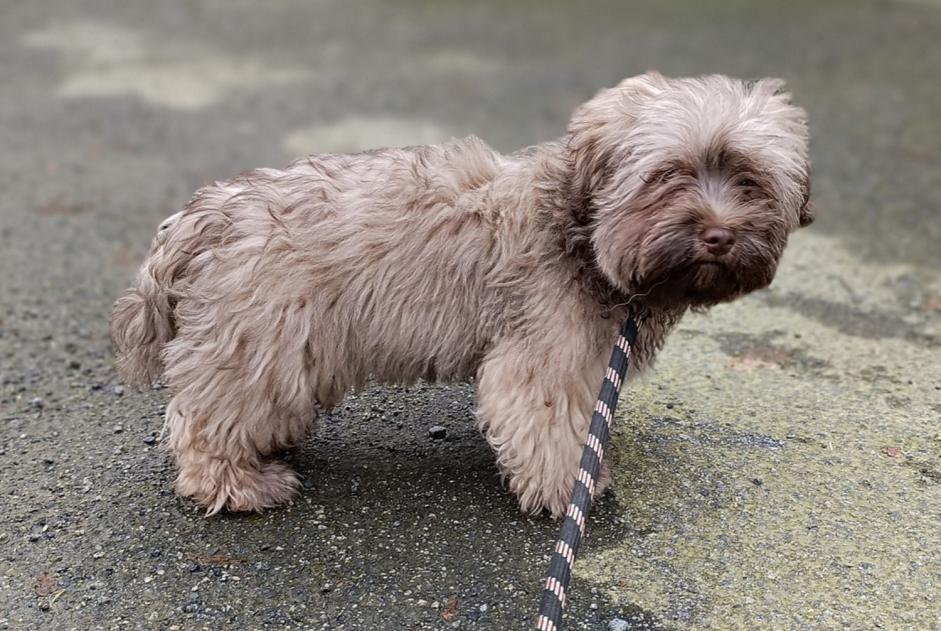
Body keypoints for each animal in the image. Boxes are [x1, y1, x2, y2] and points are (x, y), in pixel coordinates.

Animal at [112, 74, 816, 520]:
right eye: (669, 175)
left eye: (748, 179)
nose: (719, 235)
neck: (582, 231)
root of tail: (204, 216)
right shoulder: (541, 357)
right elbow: (547, 426)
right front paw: (570, 490)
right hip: (260, 344)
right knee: (205, 422)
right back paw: (235, 483)